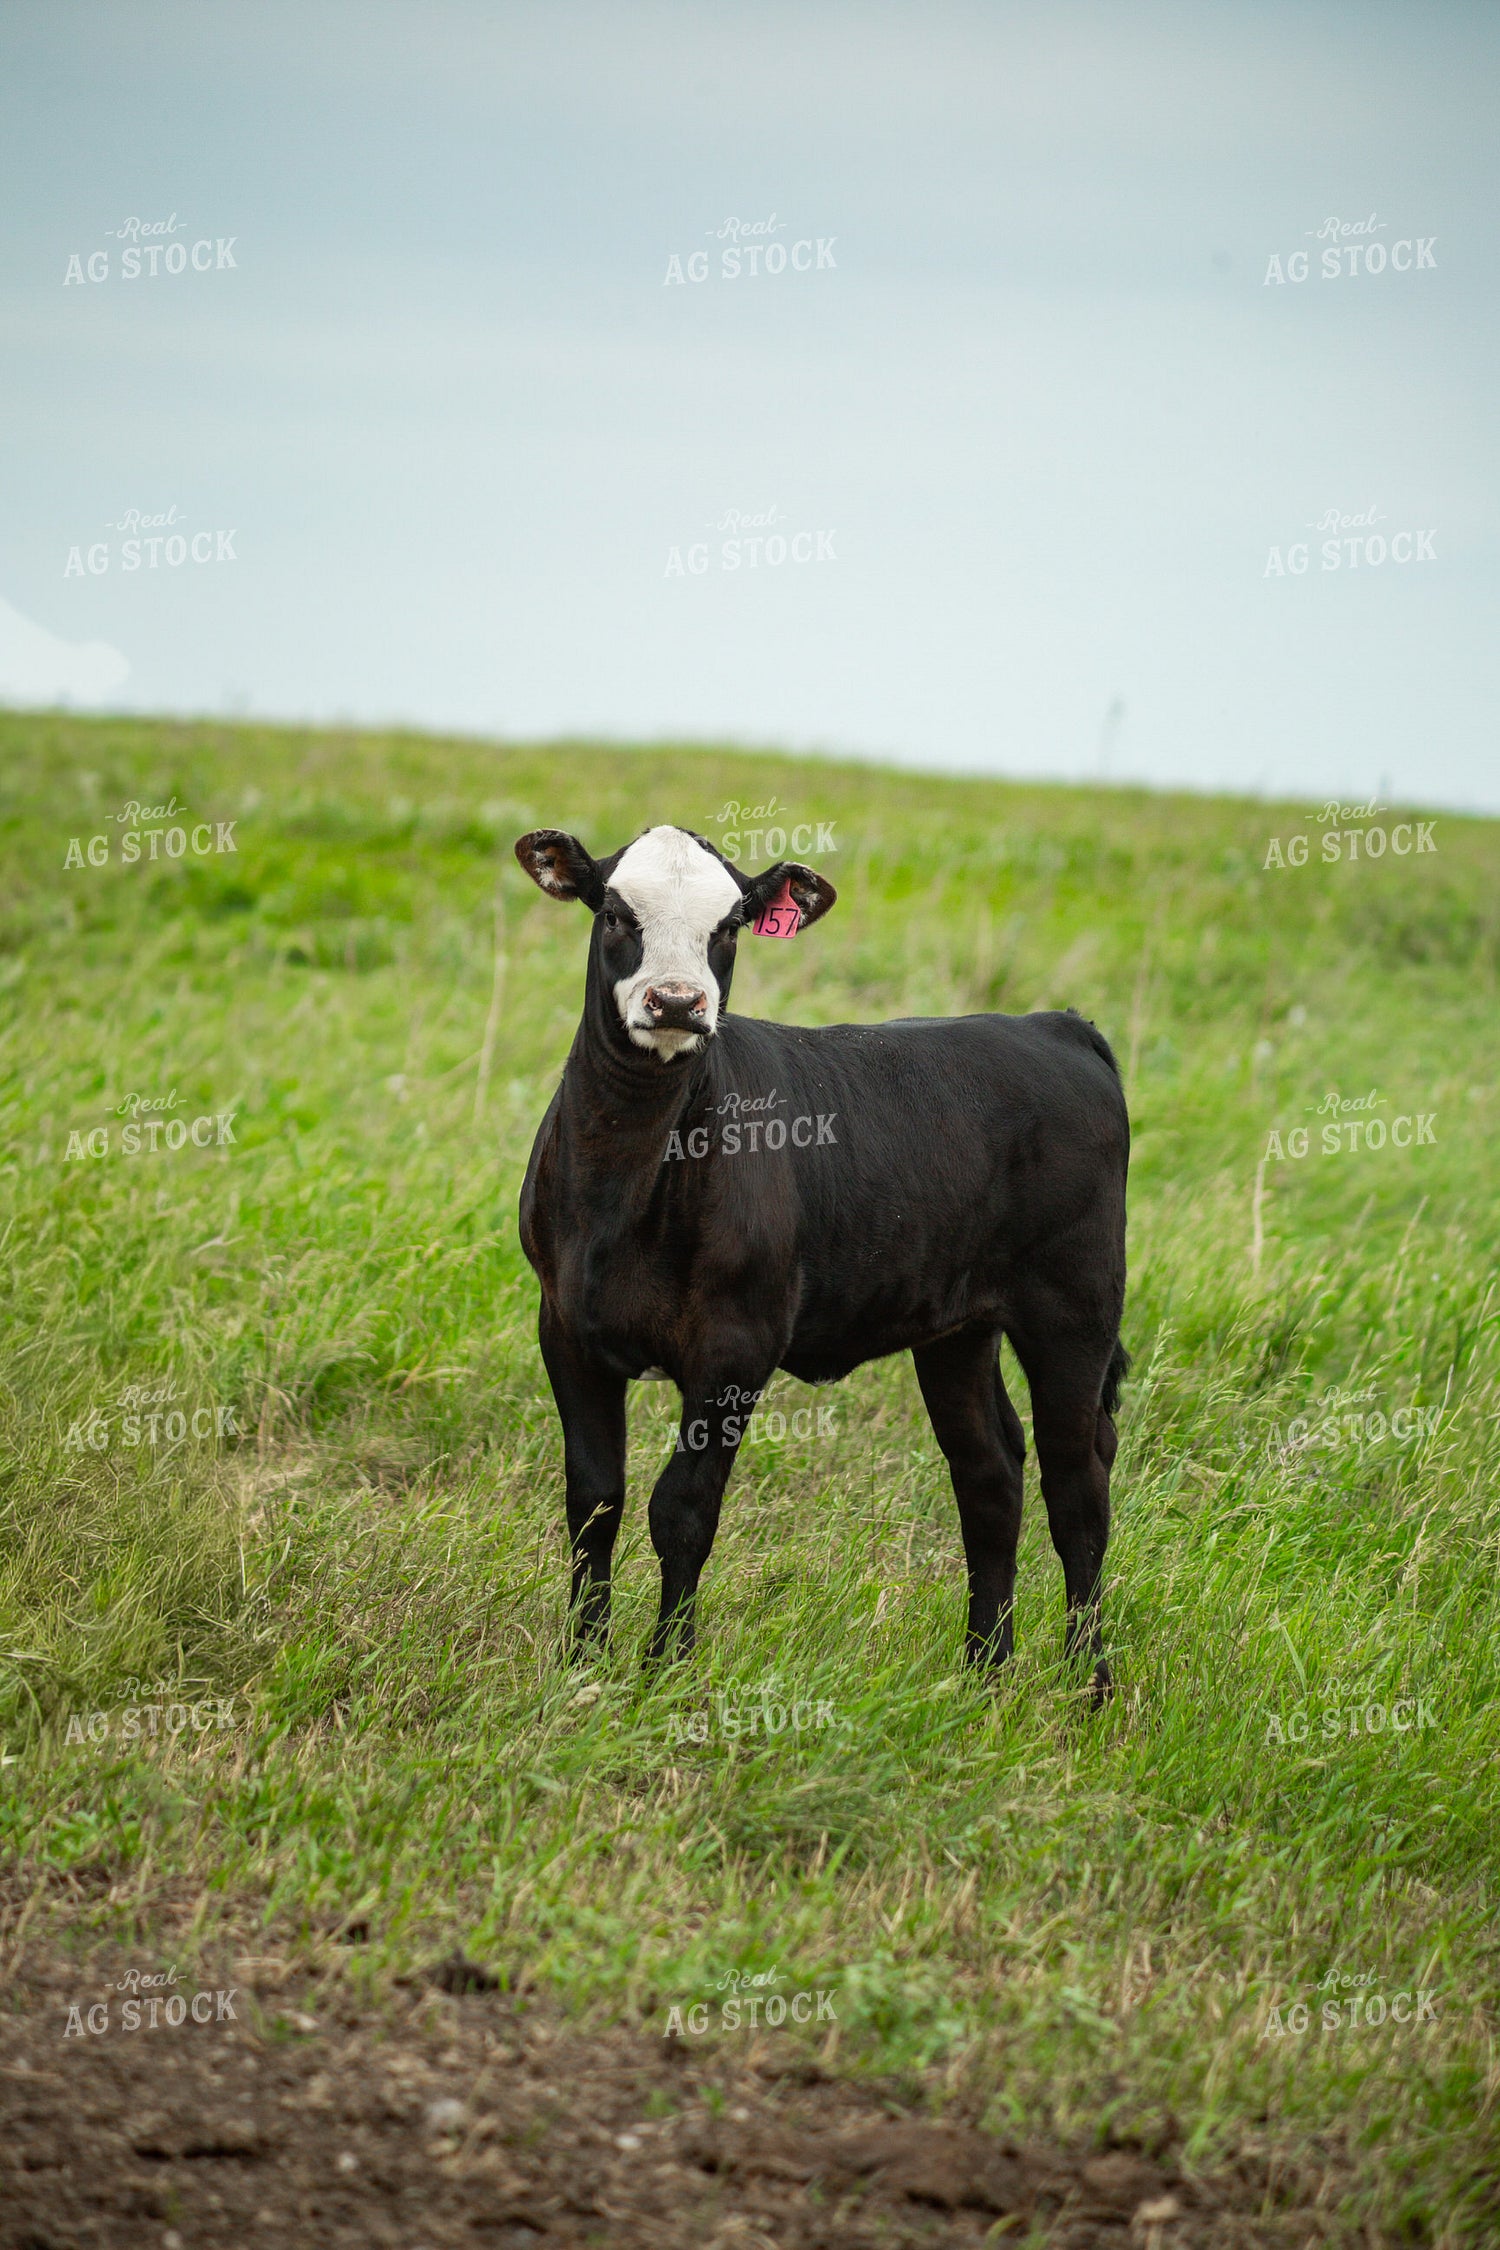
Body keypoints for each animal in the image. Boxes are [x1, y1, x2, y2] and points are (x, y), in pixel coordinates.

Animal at [514, 822, 1129, 1701]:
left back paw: (1088, 1688)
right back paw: (983, 1672)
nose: (677, 1003)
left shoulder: (737, 1345)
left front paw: (666, 1671)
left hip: (1076, 1309)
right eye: (613, 915)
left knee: (1077, 1482)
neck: (623, 1177)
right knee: (990, 1472)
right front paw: (582, 1664)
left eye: (731, 926)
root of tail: (1051, 1024)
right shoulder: (565, 1325)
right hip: (957, 1327)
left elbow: (682, 1510)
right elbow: (595, 1500)